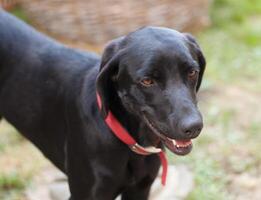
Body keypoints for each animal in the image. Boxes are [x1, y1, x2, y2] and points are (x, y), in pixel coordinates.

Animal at [0, 9, 205, 200]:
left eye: (192, 72)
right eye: (147, 81)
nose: (194, 127)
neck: (131, 145)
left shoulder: (140, 189)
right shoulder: (85, 194)